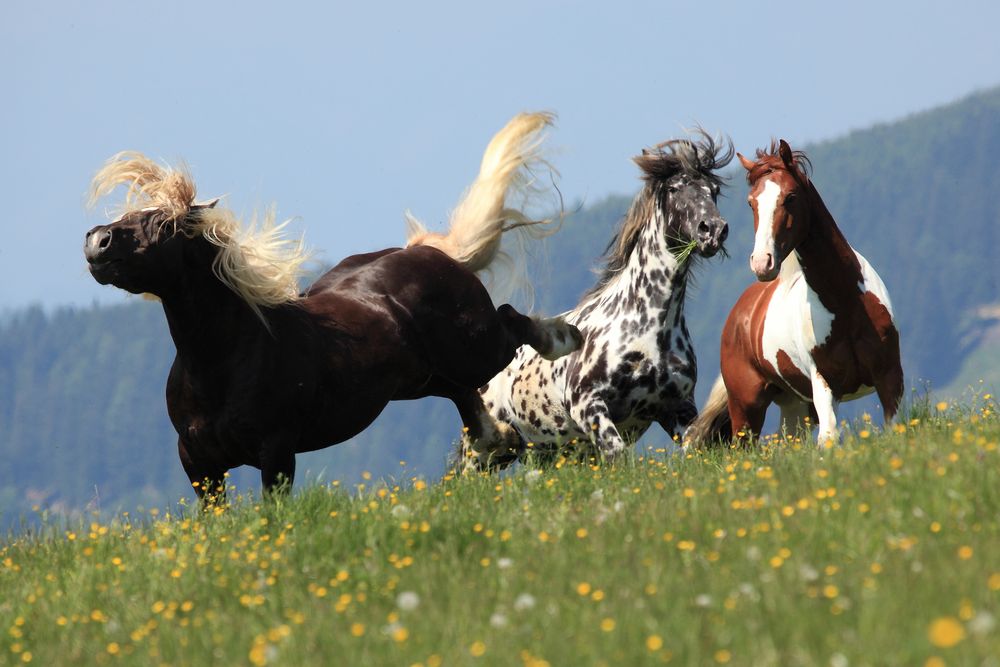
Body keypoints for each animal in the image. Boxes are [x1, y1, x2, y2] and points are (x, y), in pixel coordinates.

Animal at [86, 113, 584, 500]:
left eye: (162, 225)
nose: (96, 241)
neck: (221, 363)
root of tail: (426, 252)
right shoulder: (199, 465)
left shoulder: (276, 451)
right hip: (422, 379)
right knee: (465, 398)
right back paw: (495, 444)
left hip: (473, 349)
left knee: (510, 323)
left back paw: (565, 338)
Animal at [460, 133, 736, 470]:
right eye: (674, 189)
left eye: (714, 191)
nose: (713, 230)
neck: (650, 328)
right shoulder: (588, 404)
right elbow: (617, 453)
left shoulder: (678, 408)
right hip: (483, 451)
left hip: (539, 451)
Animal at [692, 139, 904, 446]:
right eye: (751, 202)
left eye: (790, 196)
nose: (762, 263)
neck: (846, 303)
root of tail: (738, 316)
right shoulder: (825, 382)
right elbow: (829, 438)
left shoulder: (890, 376)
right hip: (746, 408)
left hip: (795, 406)